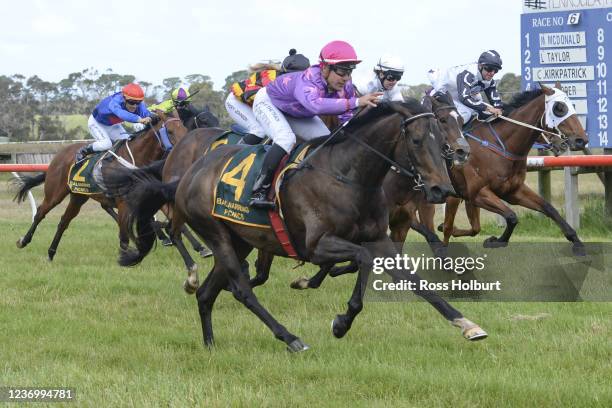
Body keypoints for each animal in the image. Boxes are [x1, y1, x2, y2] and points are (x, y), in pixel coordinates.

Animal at [12, 112, 186, 258]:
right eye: (170, 131)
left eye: (184, 127)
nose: (183, 147)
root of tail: (59, 156)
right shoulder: (123, 204)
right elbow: (124, 234)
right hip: (55, 193)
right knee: (40, 213)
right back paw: (23, 241)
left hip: (78, 197)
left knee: (64, 221)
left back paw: (51, 252)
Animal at [115, 101, 488, 350]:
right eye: (417, 141)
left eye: (441, 138)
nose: (442, 189)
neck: (348, 176)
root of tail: (186, 176)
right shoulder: (317, 245)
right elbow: (360, 261)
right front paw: (341, 322)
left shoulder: (379, 238)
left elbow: (418, 283)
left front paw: (467, 324)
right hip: (217, 235)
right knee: (241, 289)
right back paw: (290, 337)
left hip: (240, 240)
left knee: (209, 293)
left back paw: (210, 345)